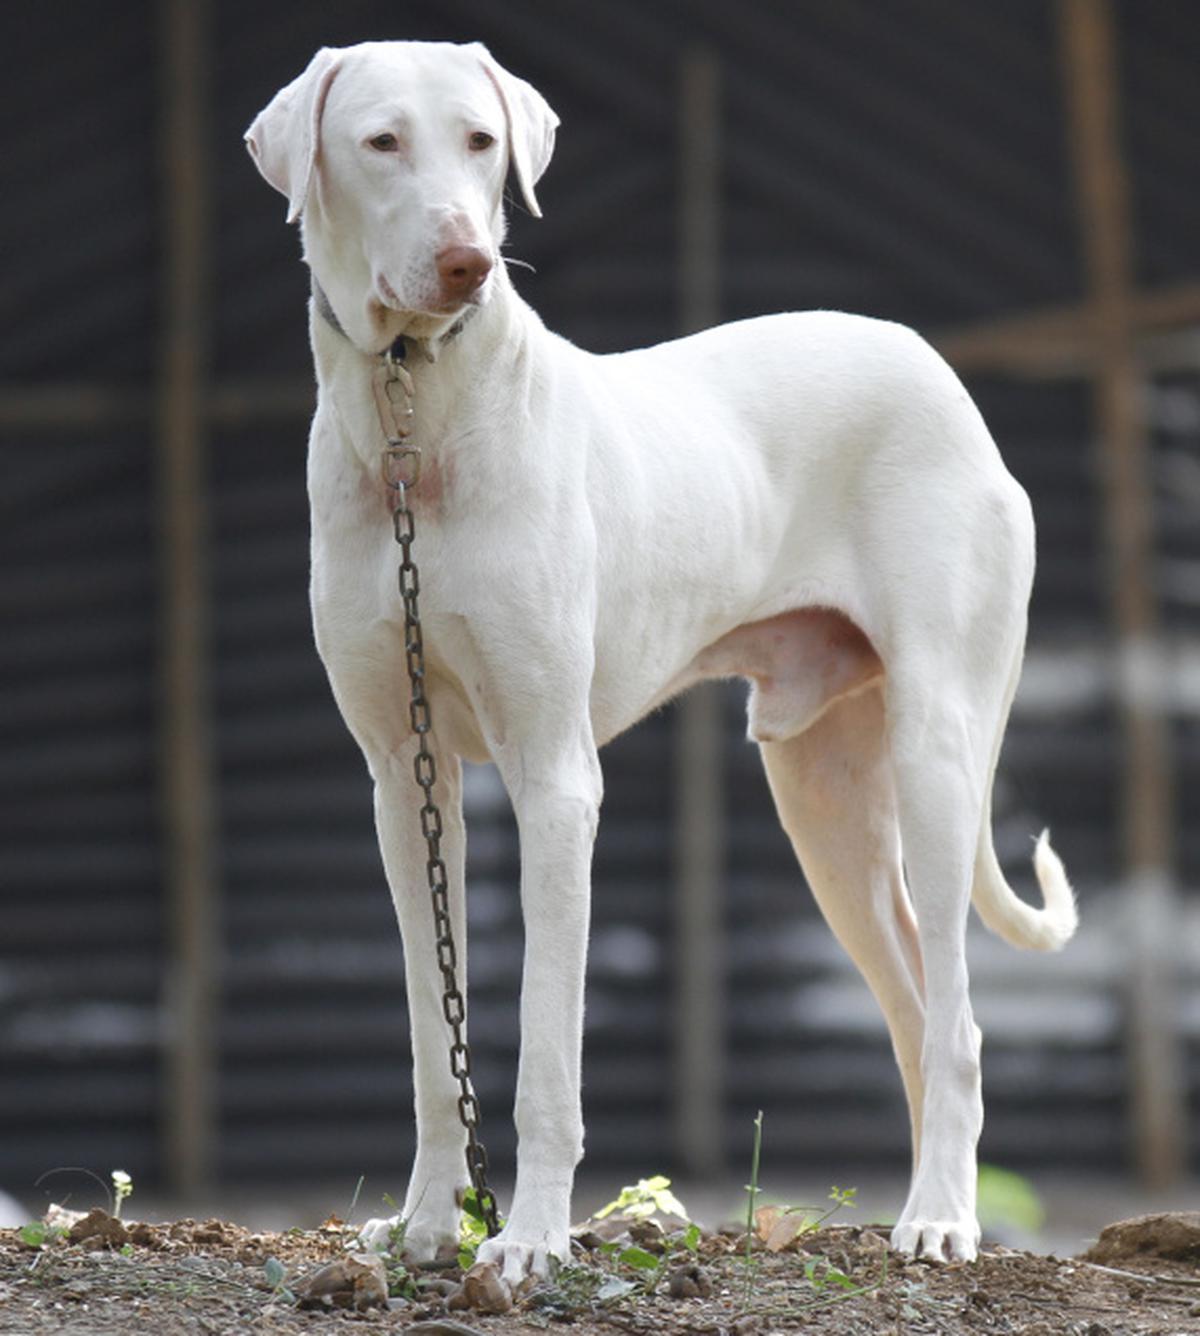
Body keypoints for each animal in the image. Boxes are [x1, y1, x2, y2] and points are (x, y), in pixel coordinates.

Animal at [245, 41, 1074, 1287]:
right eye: (382, 142)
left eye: (482, 142)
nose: (467, 260)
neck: (414, 412)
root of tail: (936, 369)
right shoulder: (404, 782)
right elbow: (437, 1044)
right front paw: (434, 1225)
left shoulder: (555, 783)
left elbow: (548, 1051)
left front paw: (530, 1238)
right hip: (823, 801)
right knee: (920, 1009)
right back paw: (926, 1201)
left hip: (937, 755)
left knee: (962, 1020)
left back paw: (942, 1219)